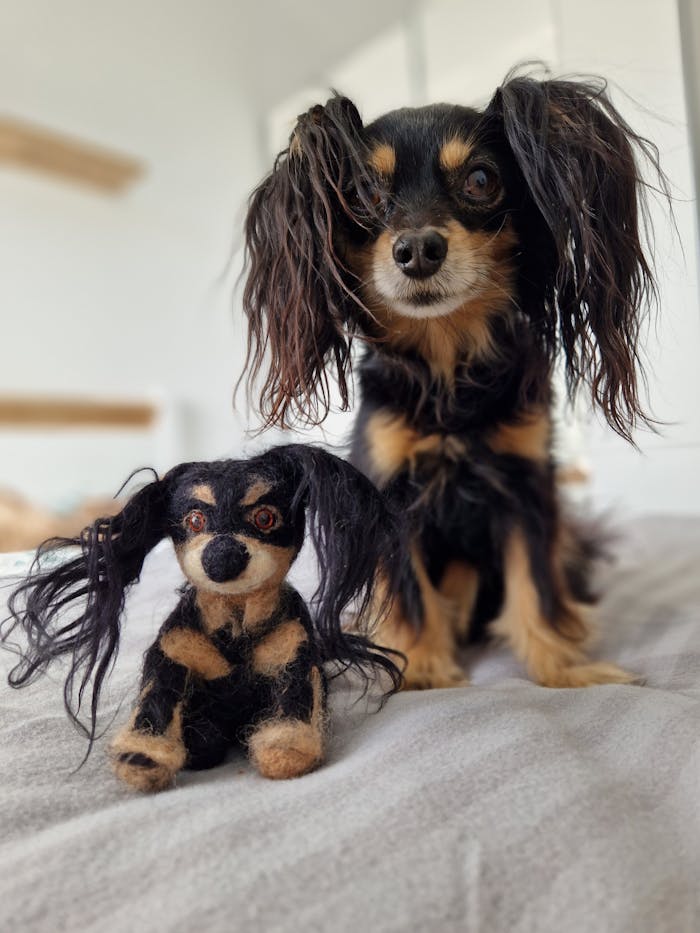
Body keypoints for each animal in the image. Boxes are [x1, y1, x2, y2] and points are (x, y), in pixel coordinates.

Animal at [243, 71, 668, 692]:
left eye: (481, 180)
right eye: (363, 195)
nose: (418, 249)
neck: (447, 370)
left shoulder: (524, 487)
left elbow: (535, 586)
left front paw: (563, 668)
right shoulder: (393, 494)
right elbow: (411, 592)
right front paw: (422, 671)